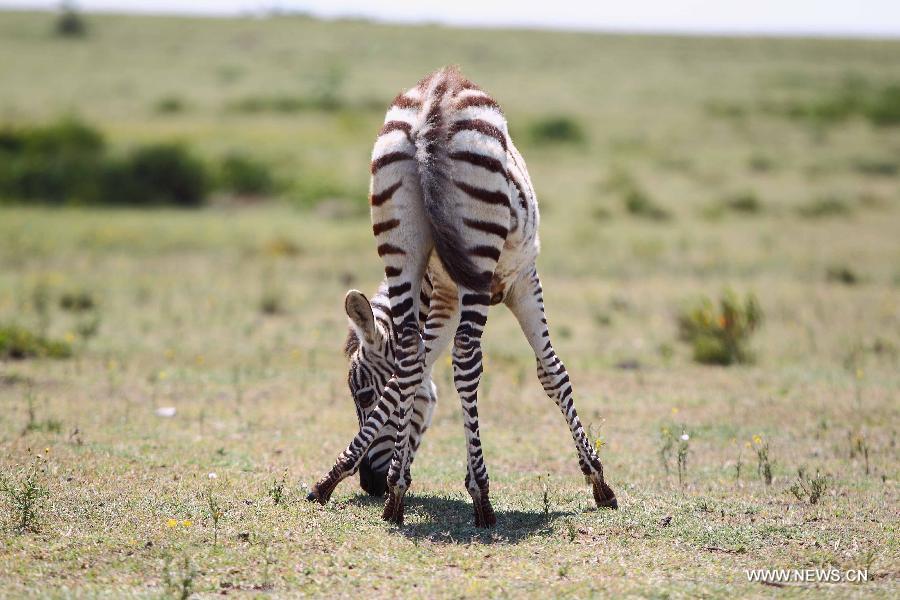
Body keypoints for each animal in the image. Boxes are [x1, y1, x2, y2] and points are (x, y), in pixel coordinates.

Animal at [306, 65, 616, 524]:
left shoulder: (445, 299)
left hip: (400, 241)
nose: (370, 484)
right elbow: (552, 372)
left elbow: (412, 374)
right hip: (477, 249)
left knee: (410, 355)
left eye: (361, 394)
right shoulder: (522, 279)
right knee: (468, 358)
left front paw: (361, 478)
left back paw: (386, 496)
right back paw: (482, 498)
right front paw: (598, 479)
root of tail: (434, 99)